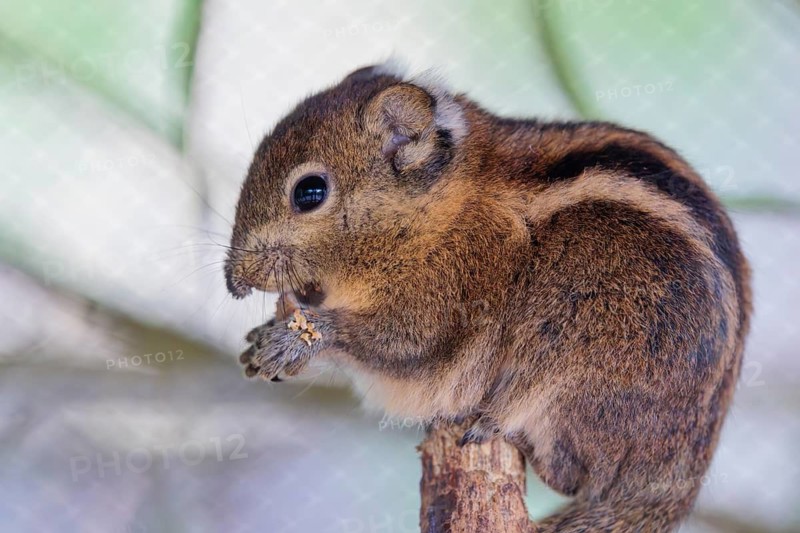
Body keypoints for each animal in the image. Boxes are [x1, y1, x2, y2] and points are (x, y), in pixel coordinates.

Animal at [225, 62, 751, 532]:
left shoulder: (442, 308)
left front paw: (292, 341)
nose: (234, 279)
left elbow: (392, 344)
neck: (438, 211)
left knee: (570, 469)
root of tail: (675, 483)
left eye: (310, 192)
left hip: (577, 361)